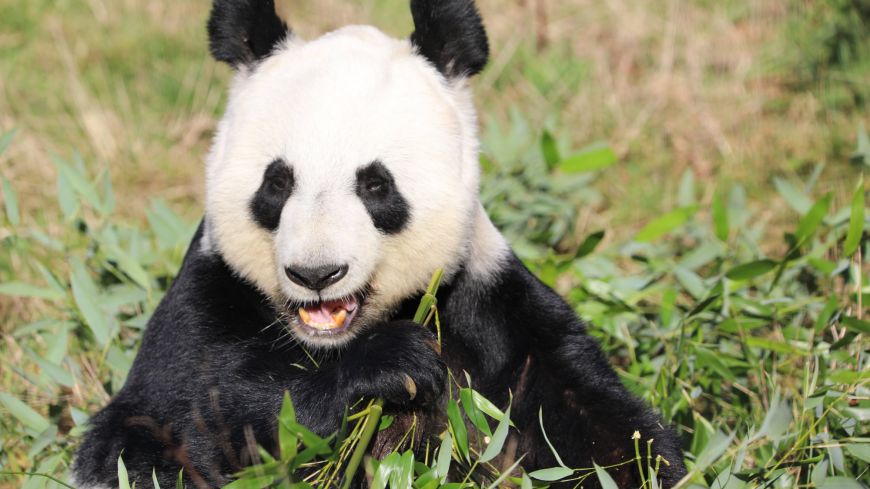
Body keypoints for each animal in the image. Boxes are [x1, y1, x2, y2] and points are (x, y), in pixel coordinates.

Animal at [73, 0, 688, 488]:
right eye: (277, 183)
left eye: (375, 185)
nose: (316, 274)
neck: (332, 341)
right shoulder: (210, 295)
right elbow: (196, 417)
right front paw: (390, 364)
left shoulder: (487, 305)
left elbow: (593, 427)